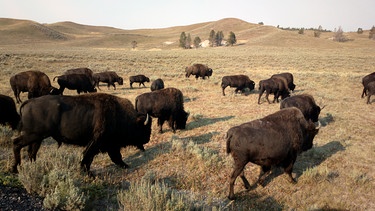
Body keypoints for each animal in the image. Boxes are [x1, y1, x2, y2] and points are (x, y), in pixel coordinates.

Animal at [12, 93, 153, 174]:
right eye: (142, 128)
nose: (147, 139)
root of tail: (28, 102)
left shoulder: (108, 145)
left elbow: (111, 157)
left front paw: (125, 165)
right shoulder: (97, 142)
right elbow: (89, 156)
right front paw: (87, 172)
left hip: (38, 138)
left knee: (31, 152)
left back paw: (33, 168)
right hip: (33, 135)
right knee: (16, 144)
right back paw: (15, 169)